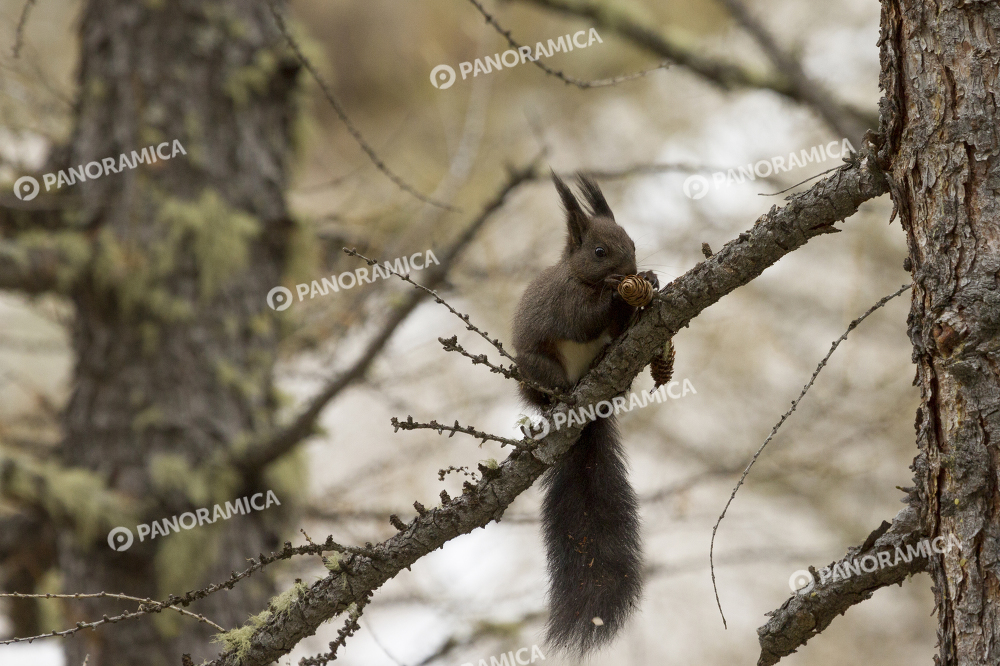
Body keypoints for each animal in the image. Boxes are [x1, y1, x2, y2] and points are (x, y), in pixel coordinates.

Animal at [512, 174, 656, 655]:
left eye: (632, 242)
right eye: (598, 251)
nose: (632, 266)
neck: (580, 277)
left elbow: (618, 326)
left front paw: (647, 281)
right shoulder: (566, 302)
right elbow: (581, 320)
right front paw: (616, 291)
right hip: (538, 367)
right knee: (549, 383)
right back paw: (562, 397)